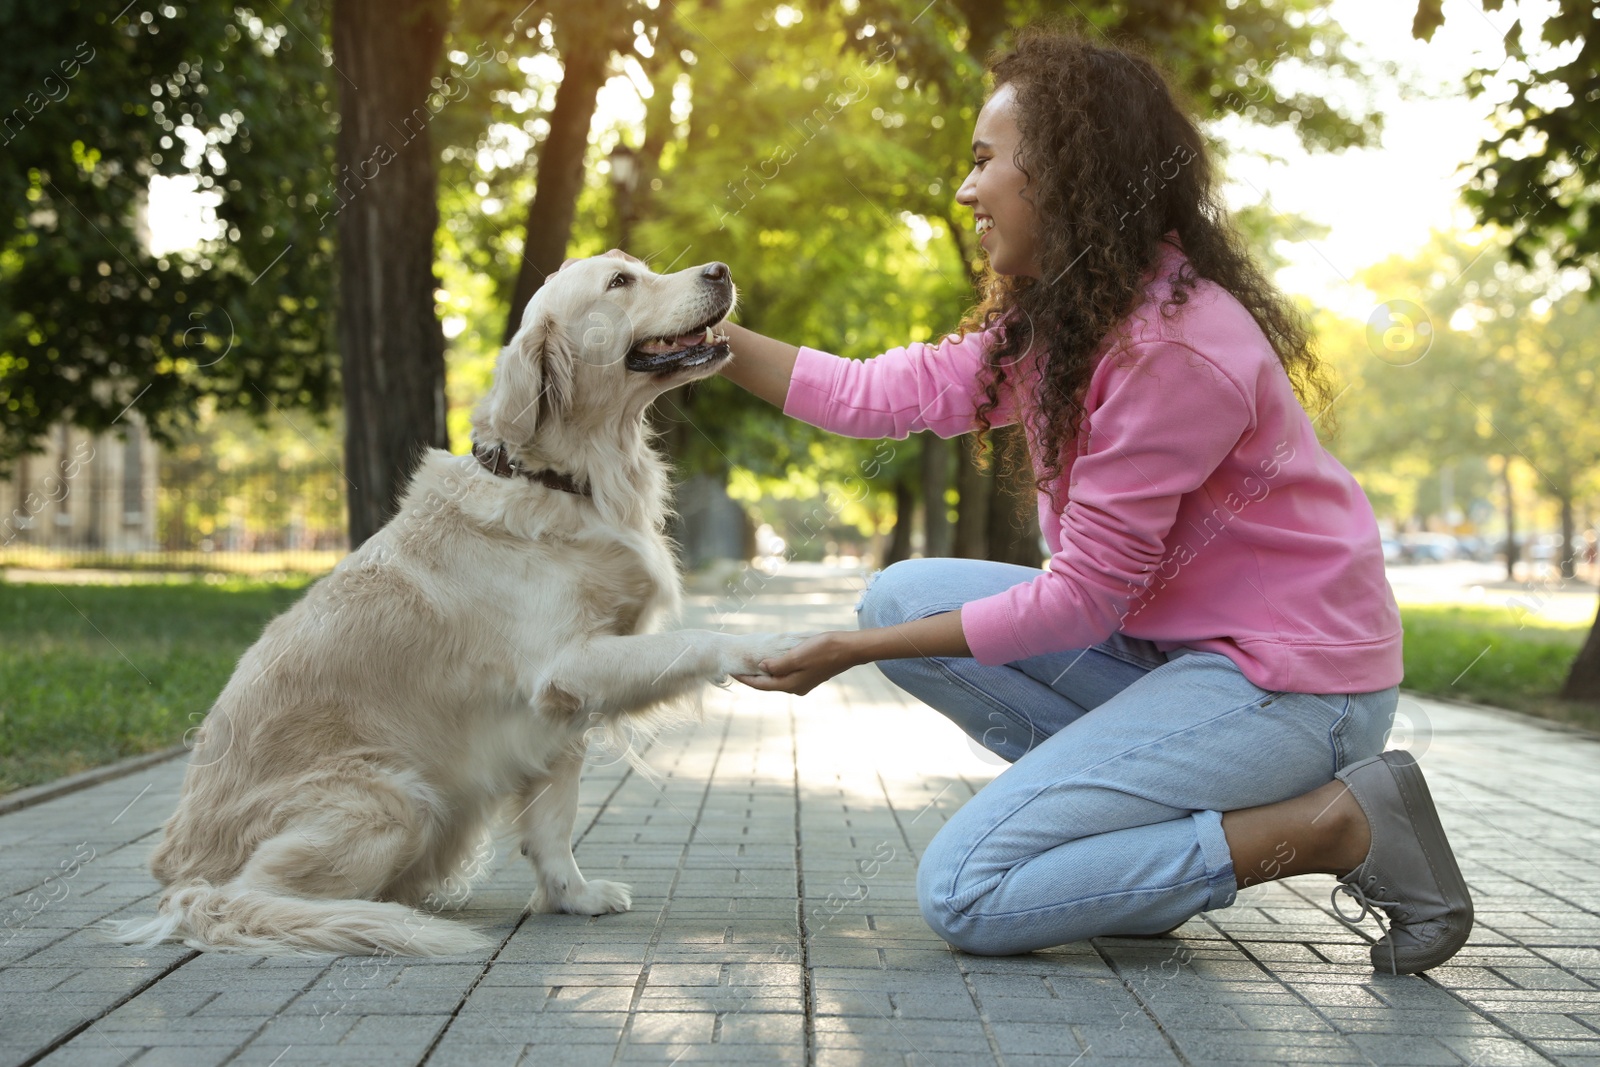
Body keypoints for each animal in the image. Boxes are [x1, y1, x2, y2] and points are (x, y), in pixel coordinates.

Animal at [109, 252, 796, 959]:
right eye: (619, 283)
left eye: (635, 266)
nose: (721, 269)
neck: (560, 479)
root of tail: (179, 878)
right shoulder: (566, 663)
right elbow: (693, 641)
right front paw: (767, 645)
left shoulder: (558, 711)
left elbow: (553, 824)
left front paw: (572, 898)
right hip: (396, 798)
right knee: (244, 899)